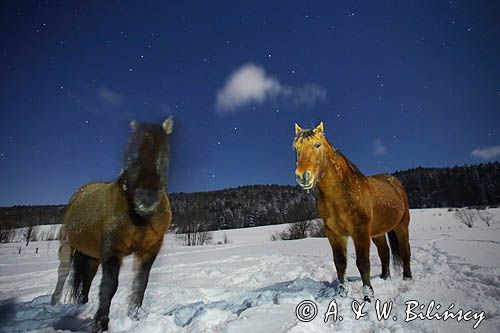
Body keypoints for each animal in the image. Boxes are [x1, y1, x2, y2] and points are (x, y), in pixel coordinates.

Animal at [51, 116, 174, 330]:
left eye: (163, 154)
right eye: (133, 156)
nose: (147, 197)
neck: (139, 218)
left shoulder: (149, 251)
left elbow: (140, 285)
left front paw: (134, 318)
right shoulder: (112, 250)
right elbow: (109, 286)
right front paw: (101, 324)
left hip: (91, 255)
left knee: (87, 280)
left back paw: (83, 306)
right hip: (68, 247)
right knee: (63, 274)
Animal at [292, 121, 410, 300]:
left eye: (317, 145)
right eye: (296, 148)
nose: (302, 176)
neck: (341, 195)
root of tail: (395, 182)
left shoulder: (360, 231)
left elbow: (363, 263)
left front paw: (368, 296)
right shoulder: (334, 234)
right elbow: (340, 263)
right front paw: (342, 293)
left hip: (401, 226)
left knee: (405, 250)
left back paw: (407, 278)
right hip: (377, 233)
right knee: (384, 252)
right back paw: (384, 277)